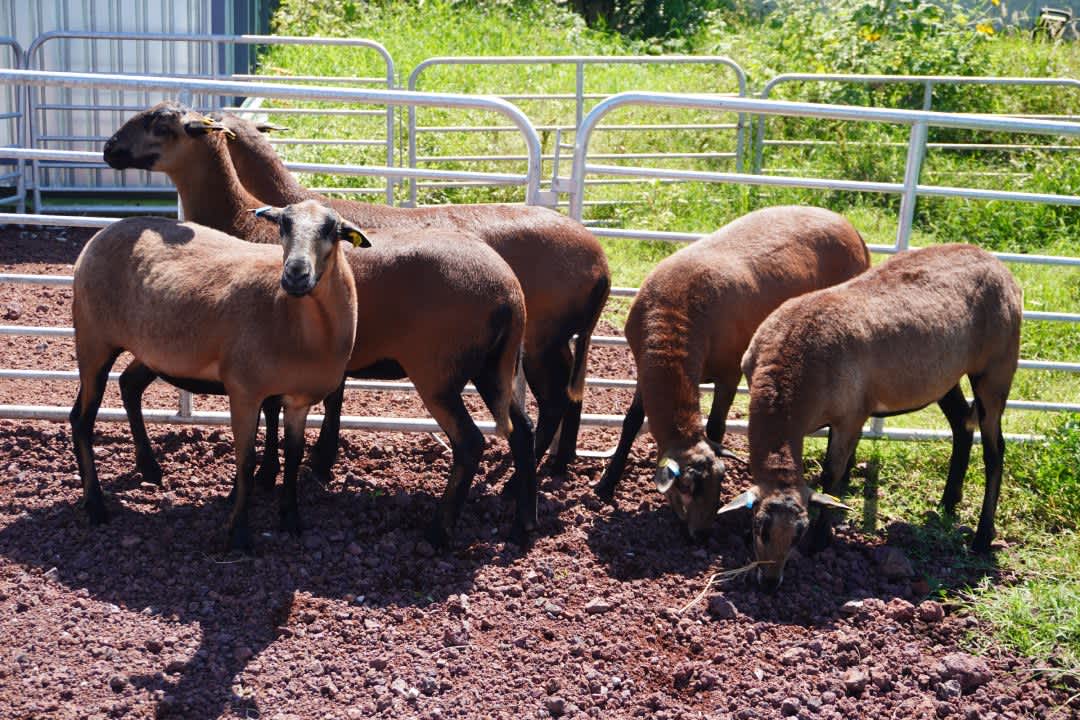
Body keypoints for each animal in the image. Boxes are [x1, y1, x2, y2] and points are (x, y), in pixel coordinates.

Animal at [70, 200, 364, 551]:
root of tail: (100, 234)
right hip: (93, 341)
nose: (295, 274)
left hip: (151, 351)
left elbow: (293, 456)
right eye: (283, 225)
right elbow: (245, 461)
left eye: (332, 230)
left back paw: (149, 468)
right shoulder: (244, 390)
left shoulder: (298, 400)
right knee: (81, 419)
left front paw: (291, 520)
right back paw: (96, 505)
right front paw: (239, 533)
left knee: (129, 385)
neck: (296, 320)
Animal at [103, 103, 539, 546]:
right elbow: (280, 412)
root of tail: (509, 290)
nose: (109, 149)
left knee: (470, 444)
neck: (240, 220)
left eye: (160, 125)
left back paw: (439, 531)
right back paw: (522, 522)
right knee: (522, 430)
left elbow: (272, 414)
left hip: (439, 371)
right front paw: (279, 472)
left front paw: (265, 476)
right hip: (494, 367)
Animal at [207, 110, 611, 472]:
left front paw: (319, 460)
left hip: (542, 340)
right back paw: (558, 463)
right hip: (554, 339)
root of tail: (602, 263)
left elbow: (330, 397)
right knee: (571, 391)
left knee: (554, 399)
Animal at [594, 206, 871, 538]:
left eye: (720, 481)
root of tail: (851, 228)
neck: (674, 320)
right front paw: (606, 484)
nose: (701, 535)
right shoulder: (644, 367)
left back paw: (845, 474)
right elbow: (632, 421)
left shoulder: (729, 374)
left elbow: (715, 427)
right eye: (685, 487)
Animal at [725, 243, 1022, 591]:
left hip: (996, 369)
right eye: (760, 528)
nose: (771, 583)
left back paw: (982, 537)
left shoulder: (851, 415)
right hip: (945, 377)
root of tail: (1000, 267)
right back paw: (948, 503)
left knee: (994, 450)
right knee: (962, 425)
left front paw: (820, 539)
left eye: (798, 533)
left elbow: (831, 475)